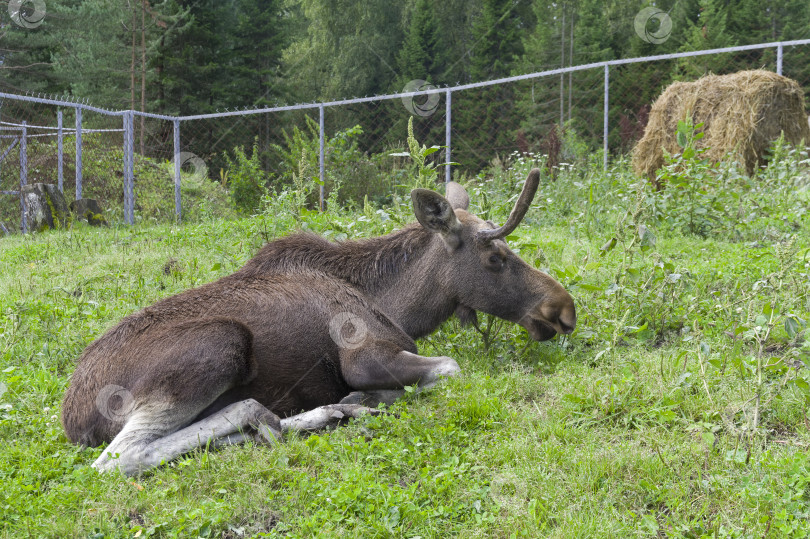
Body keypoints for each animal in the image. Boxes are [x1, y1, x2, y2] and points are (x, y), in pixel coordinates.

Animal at [61, 167, 576, 474]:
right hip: (220, 343)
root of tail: (71, 416)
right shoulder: (364, 357)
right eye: (496, 256)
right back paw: (276, 414)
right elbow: (450, 366)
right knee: (120, 458)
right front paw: (369, 397)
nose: (563, 310)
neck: (398, 304)